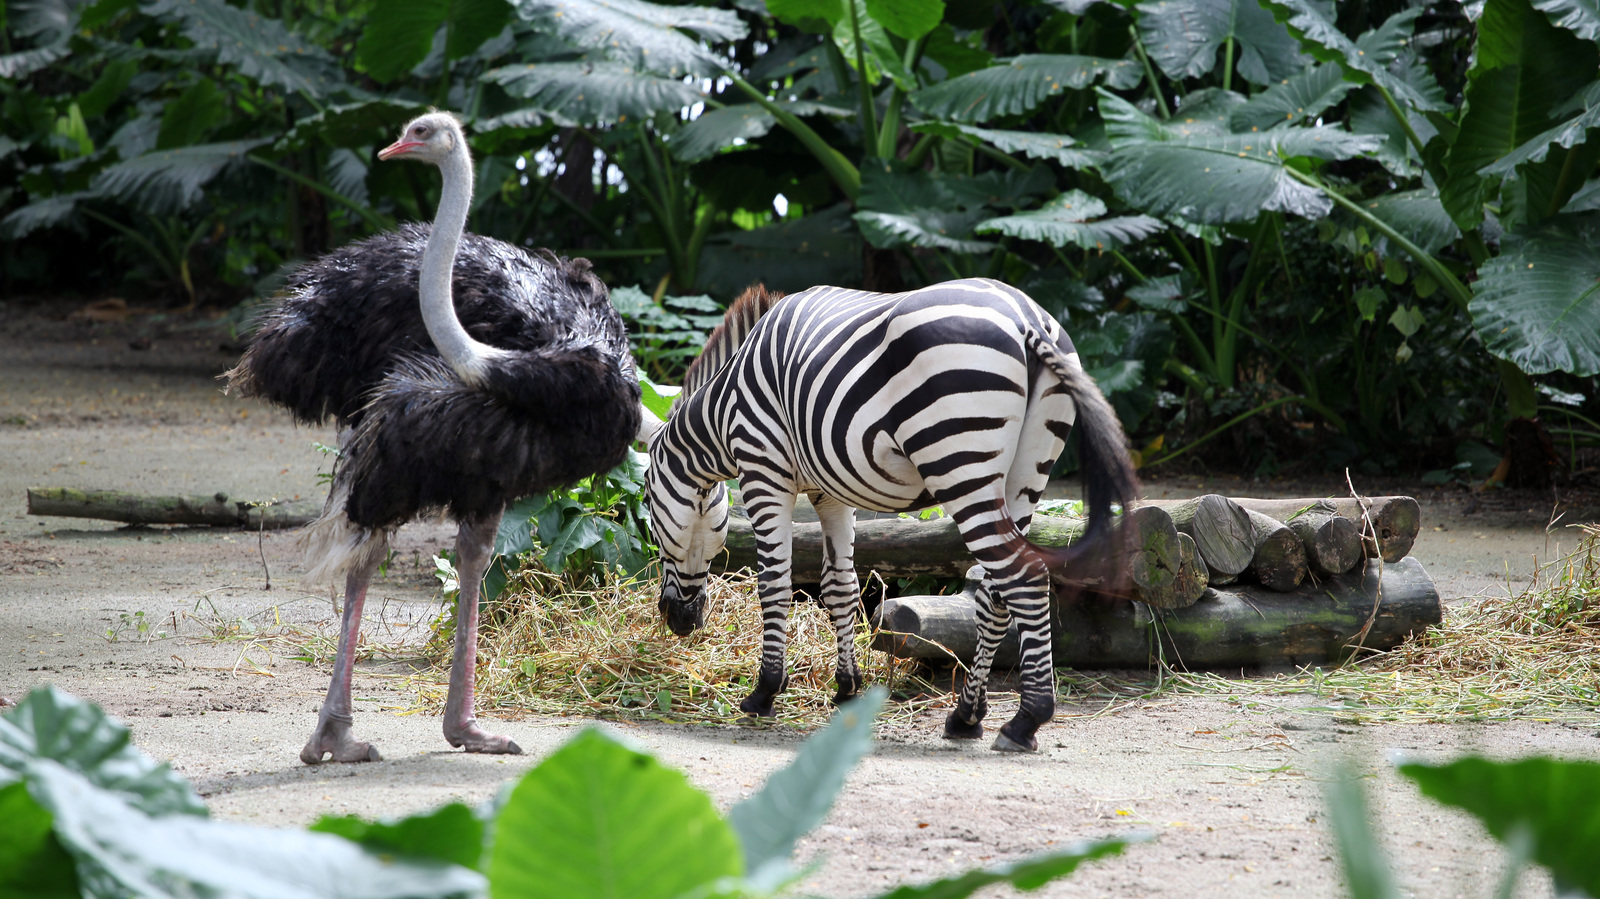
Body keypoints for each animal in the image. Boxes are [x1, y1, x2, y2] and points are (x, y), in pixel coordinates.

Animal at [640, 275, 1139, 748]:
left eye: (646, 505)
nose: (678, 620)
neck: (723, 409)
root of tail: (1026, 316)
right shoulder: (831, 490)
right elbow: (840, 587)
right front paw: (847, 688)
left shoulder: (764, 470)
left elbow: (775, 585)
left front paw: (764, 692)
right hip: (1025, 474)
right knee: (995, 591)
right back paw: (967, 716)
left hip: (960, 458)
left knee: (1025, 576)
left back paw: (1025, 720)